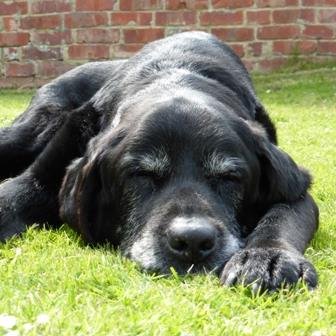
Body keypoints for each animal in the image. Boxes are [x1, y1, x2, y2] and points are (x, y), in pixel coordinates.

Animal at [0, 32, 318, 292]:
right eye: (141, 174)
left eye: (230, 177)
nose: (193, 241)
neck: (177, 75)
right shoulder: (43, 177)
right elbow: (13, 197)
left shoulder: (295, 189)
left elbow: (282, 216)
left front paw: (268, 257)